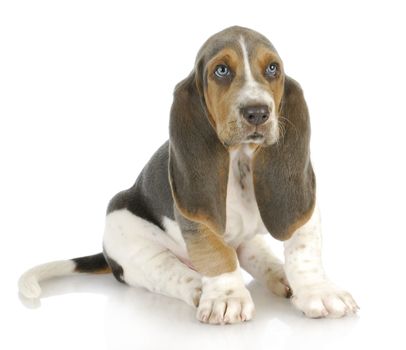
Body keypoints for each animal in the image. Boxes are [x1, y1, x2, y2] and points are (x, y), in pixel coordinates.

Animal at [19, 26, 356, 324]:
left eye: (273, 68)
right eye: (221, 70)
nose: (258, 112)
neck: (241, 160)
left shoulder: (305, 209)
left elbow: (303, 249)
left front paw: (319, 292)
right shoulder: (197, 216)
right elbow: (217, 254)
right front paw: (227, 299)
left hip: (246, 241)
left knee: (254, 255)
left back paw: (281, 276)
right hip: (129, 238)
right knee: (172, 271)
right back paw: (201, 289)